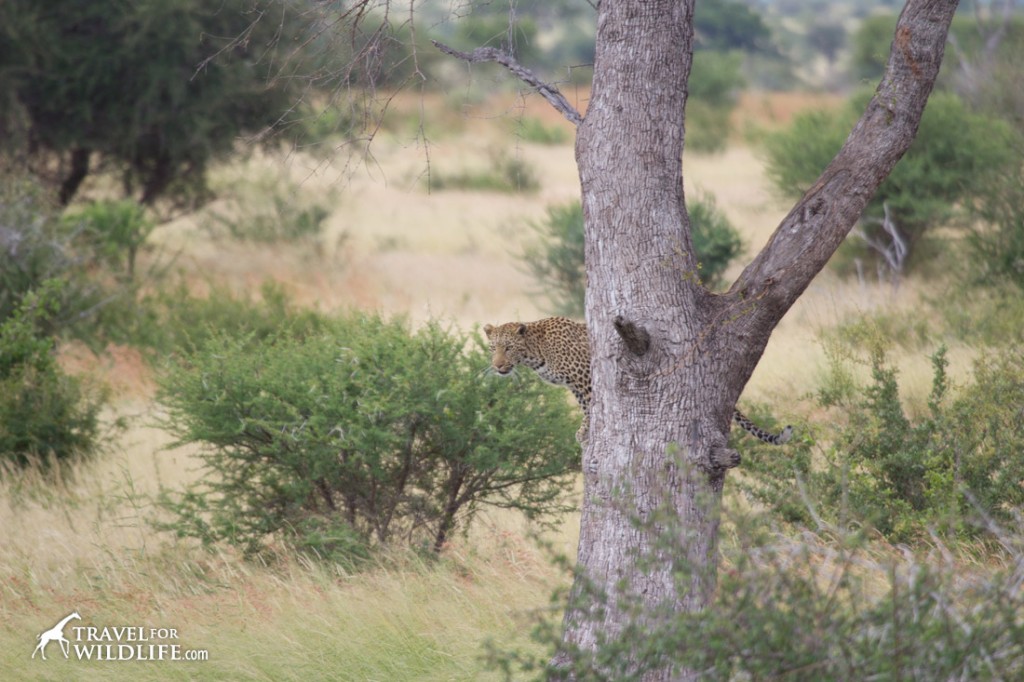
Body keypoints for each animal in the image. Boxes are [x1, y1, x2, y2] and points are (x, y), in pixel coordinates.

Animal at [483, 315, 794, 446]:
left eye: (508, 348)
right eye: (493, 348)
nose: (497, 366)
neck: (536, 352)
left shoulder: (586, 377)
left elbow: (592, 407)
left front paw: (584, 432)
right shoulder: (576, 386)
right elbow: (587, 406)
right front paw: (585, 431)